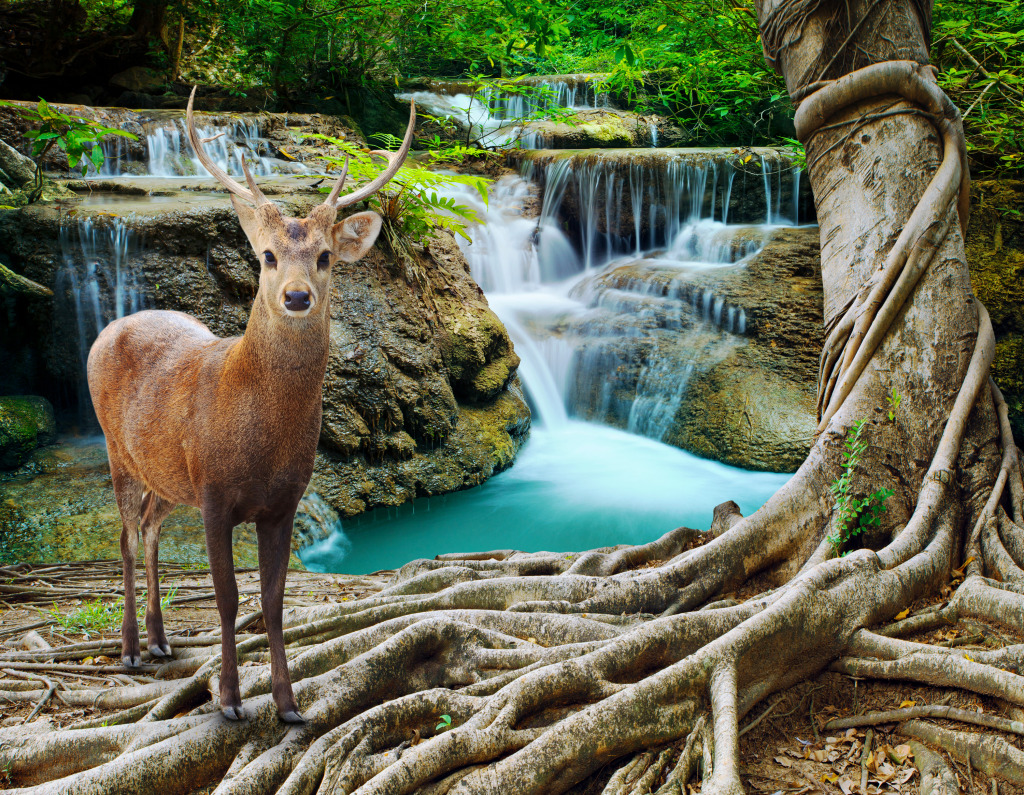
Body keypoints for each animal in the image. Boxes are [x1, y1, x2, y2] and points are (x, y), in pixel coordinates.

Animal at [89, 90, 415, 725]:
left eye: (325, 256)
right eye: (265, 256)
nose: (297, 296)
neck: (259, 435)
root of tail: (107, 327)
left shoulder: (284, 501)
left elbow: (273, 598)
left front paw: (288, 704)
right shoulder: (215, 493)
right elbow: (227, 597)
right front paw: (230, 700)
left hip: (169, 475)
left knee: (150, 526)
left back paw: (161, 640)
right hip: (119, 451)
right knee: (125, 536)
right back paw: (132, 650)